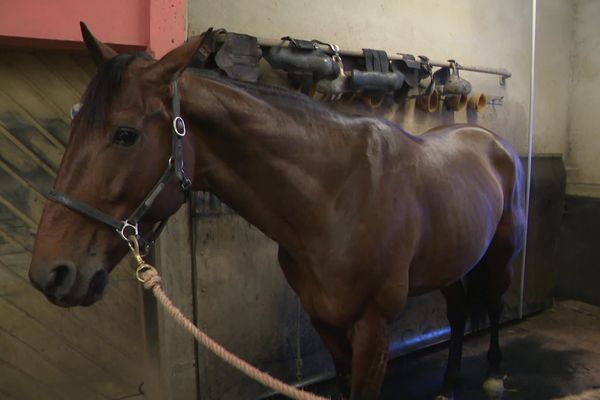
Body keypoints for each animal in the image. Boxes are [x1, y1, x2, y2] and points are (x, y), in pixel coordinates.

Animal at [29, 23, 524, 398]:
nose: (50, 273)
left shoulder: (374, 327)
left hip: (499, 256)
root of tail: (494, 143)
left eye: (126, 135)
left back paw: (494, 373)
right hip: (452, 261)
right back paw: (449, 383)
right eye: (74, 123)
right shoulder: (326, 322)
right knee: (458, 315)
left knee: (493, 305)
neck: (338, 197)